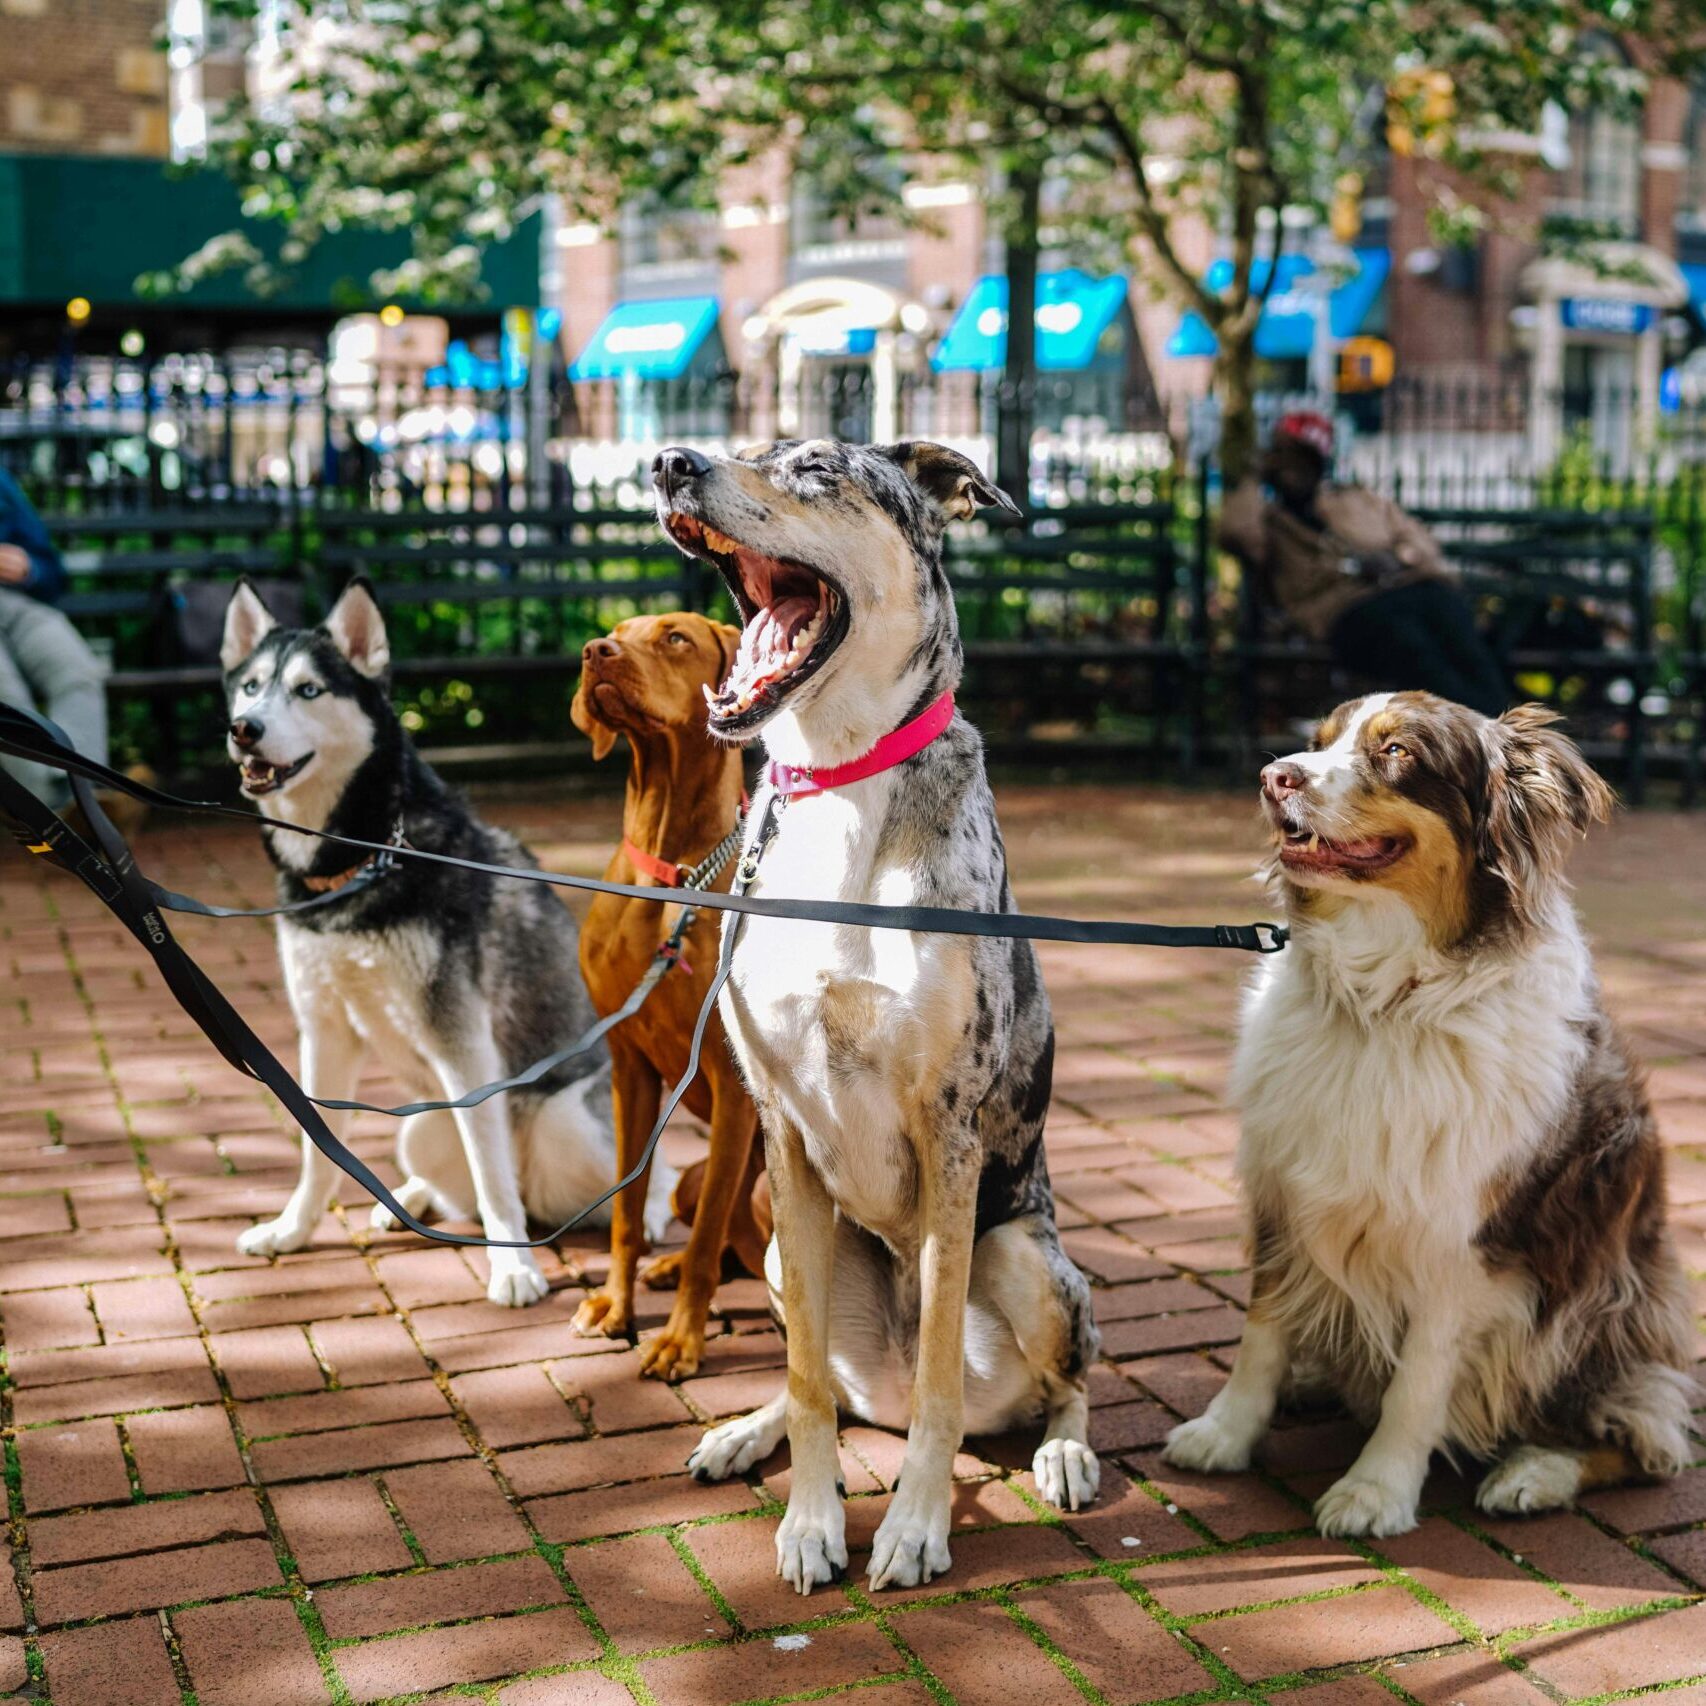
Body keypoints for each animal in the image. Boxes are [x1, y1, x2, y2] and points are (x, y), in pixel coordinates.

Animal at [225, 576, 672, 1303]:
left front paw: (515, 1268)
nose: (245, 730)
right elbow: (319, 1150)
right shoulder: (323, 1030)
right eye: (250, 687)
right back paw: (406, 1199)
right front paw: (291, 1230)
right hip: (422, 1125)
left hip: (564, 1123)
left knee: (634, 1175)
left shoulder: (463, 1042)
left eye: (309, 689)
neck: (364, 858)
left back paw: (645, 1214)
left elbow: (492, 1176)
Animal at [569, 617, 764, 1385]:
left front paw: (681, 1341)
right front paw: (614, 1305)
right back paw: (666, 1266)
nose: (595, 652)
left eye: (675, 638)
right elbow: (626, 1211)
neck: (671, 874)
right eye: (614, 633)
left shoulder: (734, 1086)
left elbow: (710, 1240)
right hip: (690, 1175)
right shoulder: (629, 1067)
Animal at [644, 443, 1098, 1596]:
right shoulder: (781, 1129)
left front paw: (914, 1527)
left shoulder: (949, 1132)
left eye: (814, 467)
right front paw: (811, 1521)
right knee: (836, 1385)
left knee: (1060, 1381)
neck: (839, 780)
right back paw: (743, 1432)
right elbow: (807, 1379)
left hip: (1027, 1259)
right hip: (773, 1247)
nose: (670, 460)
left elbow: (939, 1379)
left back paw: (1064, 1453)